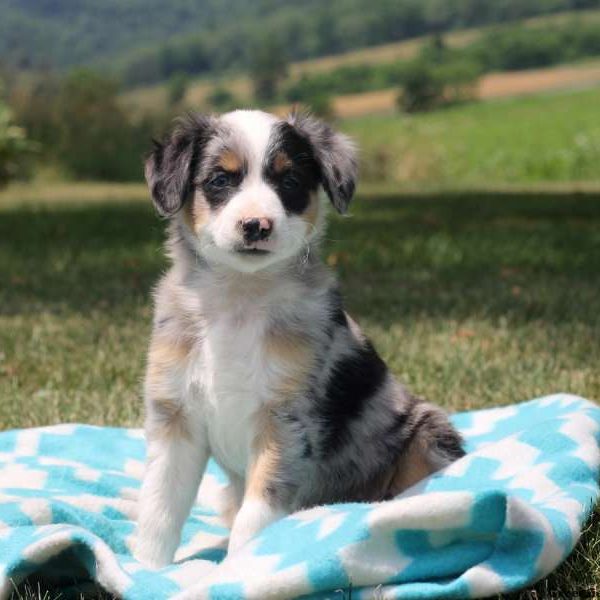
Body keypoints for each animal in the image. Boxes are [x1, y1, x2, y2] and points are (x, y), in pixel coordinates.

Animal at [135, 109, 464, 568]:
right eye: (220, 179)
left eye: (289, 181)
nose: (256, 225)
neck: (240, 296)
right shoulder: (175, 415)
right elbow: (160, 503)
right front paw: (145, 569)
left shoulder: (285, 420)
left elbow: (256, 515)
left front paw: (239, 570)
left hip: (426, 434)